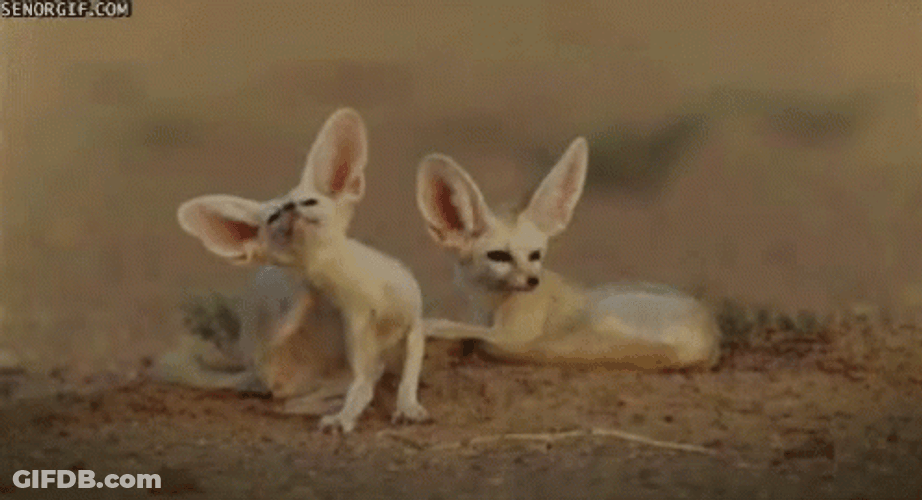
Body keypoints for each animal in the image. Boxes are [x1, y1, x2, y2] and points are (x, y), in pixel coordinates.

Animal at [173, 108, 430, 432]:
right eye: (273, 216)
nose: (290, 208)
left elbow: (409, 375)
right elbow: (361, 387)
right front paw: (344, 417)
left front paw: (409, 407)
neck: (363, 291)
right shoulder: (354, 332)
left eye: (309, 201)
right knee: (295, 403)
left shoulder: (414, 321)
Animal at [417, 137, 722, 369]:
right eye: (499, 256)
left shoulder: (512, 334)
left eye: (536, 254)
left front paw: (434, 325)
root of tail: (711, 338)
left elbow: (465, 330)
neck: (491, 304)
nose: (533, 281)